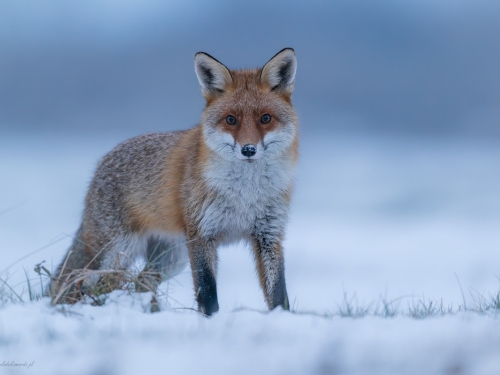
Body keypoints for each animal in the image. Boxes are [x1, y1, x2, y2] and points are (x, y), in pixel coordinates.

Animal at [50, 47, 298, 318]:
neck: (245, 194)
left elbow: (278, 293)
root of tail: (100, 164)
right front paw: (210, 320)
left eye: (265, 118)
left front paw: (282, 318)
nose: (249, 150)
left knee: (140, 282)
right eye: (231, 120)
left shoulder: (268, 235)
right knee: (84, 281)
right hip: (117, 252)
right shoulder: (202, 234)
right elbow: (207, 291)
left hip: (170, 259)